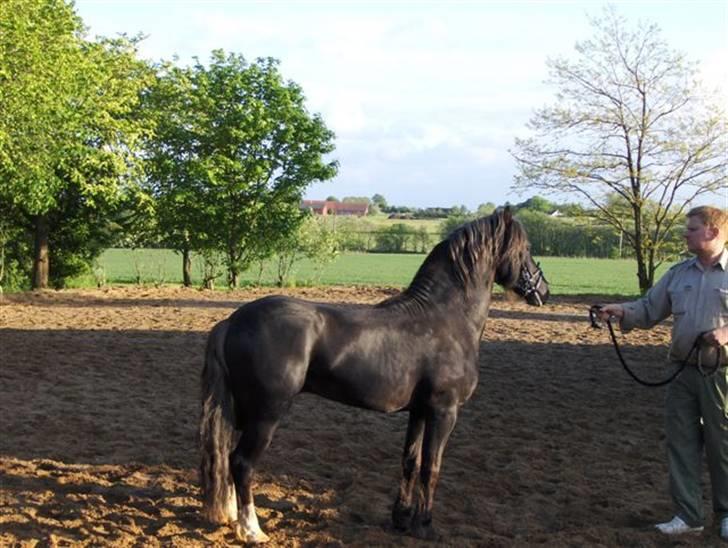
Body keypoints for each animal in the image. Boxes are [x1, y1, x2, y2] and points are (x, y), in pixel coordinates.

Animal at [198, 207, 549, 543]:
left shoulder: (419, 411)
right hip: (266, 414)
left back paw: (231, 516)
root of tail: (232, 321)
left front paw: (402, 519)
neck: (446, 319)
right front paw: (424, 526)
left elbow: (410, 461)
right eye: (526, 248)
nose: (543, 290)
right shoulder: (444, 411)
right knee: (242, 463)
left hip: (241, 411)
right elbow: (431, 467)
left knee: (225, 456)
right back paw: (251, 530)